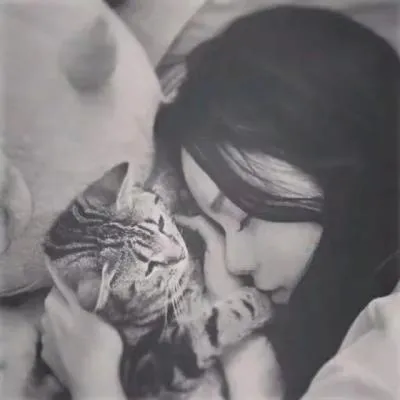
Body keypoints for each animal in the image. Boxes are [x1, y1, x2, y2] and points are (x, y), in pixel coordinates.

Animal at [42, 162, 274, 400]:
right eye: (151, 266)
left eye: (161, 224)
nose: (181, 254)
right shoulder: (144, 370)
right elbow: (202, 332)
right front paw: (254, 302)